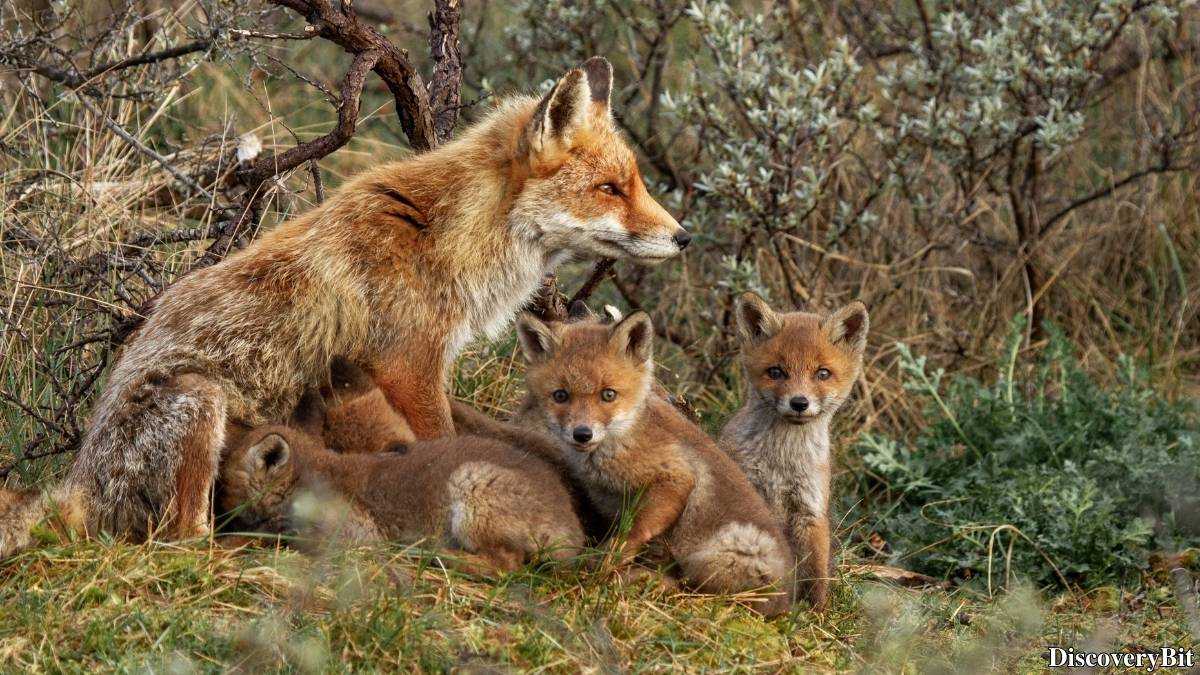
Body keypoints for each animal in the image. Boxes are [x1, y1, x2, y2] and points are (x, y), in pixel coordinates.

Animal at [218, 384, 584, 571]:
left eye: (223, 481)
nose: (218, 512)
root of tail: (574, 530)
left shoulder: (349, 535)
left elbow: (276, 538)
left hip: (471, 488)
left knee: (503, 566)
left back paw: (428, 554)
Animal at [515, 309, 796, 617]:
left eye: (608, 394)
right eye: (560, 395)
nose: (582, 433)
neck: (623, 438)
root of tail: (786, 601)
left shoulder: (675, 478)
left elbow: (632, 533)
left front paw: (602, 567)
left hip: (722, 553)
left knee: (699, 592)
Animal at [718, 292, 869, 611]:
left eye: (822, 373)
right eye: (776, 372)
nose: (799, 403)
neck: (782, 462)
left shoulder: (809, 508)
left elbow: (816, 571)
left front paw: (816, 612)